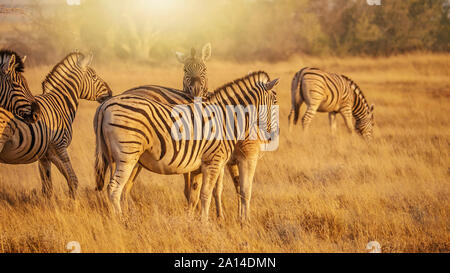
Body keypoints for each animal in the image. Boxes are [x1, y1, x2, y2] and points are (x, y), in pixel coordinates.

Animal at [0, 52, 111, 198]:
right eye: (94, 76)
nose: (110, 93)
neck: (60, 104)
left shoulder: (45, 154)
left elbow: (48, 186)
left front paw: (49, 203)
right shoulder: (60, 146)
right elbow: (73, 179)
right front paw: (73, 202)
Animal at [94, 71, 278, 220]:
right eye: (275, 102)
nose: (272, 137)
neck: (226, 118)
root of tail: (105, 105)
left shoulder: (202, 166)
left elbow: (198, 194)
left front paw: (196, 221)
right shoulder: (215, 161)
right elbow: (209, 194)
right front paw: (206, 225)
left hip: (112, 157)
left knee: (116, 188)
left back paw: (116, 217)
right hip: (128, 155)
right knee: (115, 188)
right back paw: (121, 220)